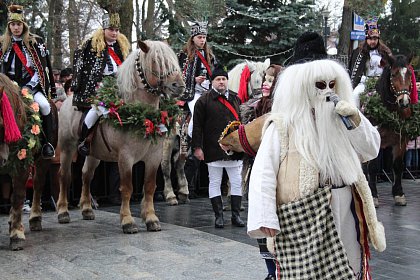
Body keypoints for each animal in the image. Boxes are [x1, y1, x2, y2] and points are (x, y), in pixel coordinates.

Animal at [0, 73, 57, 250]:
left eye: (1, 125)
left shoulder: (21, 165)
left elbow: (18, 195)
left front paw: (17, 235)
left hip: (42, 162)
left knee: (38, 185)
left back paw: (35, 218)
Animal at [55, 39, 185, 232]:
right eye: (156, 61)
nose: (179, 86)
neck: (142, 115)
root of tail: (66, 102)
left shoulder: (153, 157)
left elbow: (149, 186)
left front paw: (151, 218)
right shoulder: (126, 157)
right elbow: (127, 188)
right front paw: (128, 221)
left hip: (94, 153)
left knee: (86, 175)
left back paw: (86, 209)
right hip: (67, 148)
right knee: (65, 175)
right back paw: (63, 211)